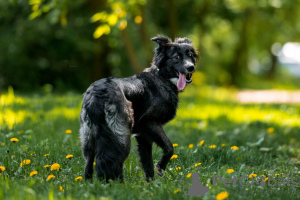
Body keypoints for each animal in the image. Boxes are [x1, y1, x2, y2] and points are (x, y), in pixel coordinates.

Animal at [80, 35, 197, 182]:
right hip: (121, 135)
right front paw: (160, 168)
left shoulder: (143, 135)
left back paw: (89, 183)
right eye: (176, 57)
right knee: (113, 161)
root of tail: (98, 94)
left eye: (190, 55)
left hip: (88, 136)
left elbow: (147, 162)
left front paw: (151, 183)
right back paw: (118, 184)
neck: (162, 77)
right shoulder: (149, 123)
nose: (190, 67)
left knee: (89, 162)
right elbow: (169, 147)